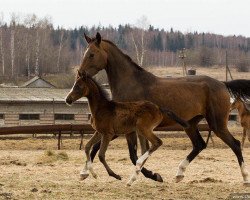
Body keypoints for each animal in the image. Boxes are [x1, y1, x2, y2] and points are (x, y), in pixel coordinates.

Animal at [78, 32, 250, 185]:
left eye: (92, 54)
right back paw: (179, 174)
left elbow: (134, 155)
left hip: (217, 124)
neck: (131, 83)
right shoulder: (120, 128)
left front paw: (154, 176)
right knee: (199, 144)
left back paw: (245, 178)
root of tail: (222, 84)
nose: (80, 73)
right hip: (190, 124)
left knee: (235, 144)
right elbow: (96, 148)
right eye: (84, 53)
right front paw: (84, 173)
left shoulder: (127, 129)